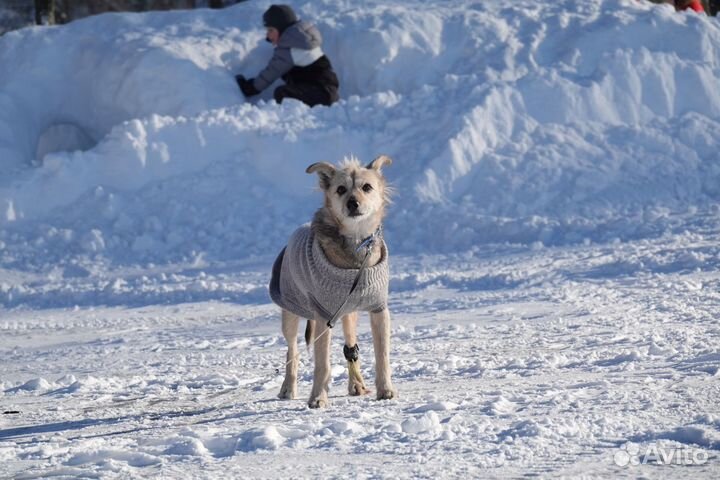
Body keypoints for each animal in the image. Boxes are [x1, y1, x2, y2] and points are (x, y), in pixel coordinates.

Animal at [268, 155, 396, 408]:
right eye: (340, 189)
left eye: (367, 187)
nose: (353, 203)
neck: (356, 247)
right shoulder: (322, 315)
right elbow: (322, 363)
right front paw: (318, 398)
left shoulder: (378, 309)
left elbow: (382, 355)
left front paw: (385, 389)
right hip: (290, 310)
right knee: (291, 350)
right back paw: (288, 387)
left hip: (348, 313)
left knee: (350, 346)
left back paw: (356, 384)